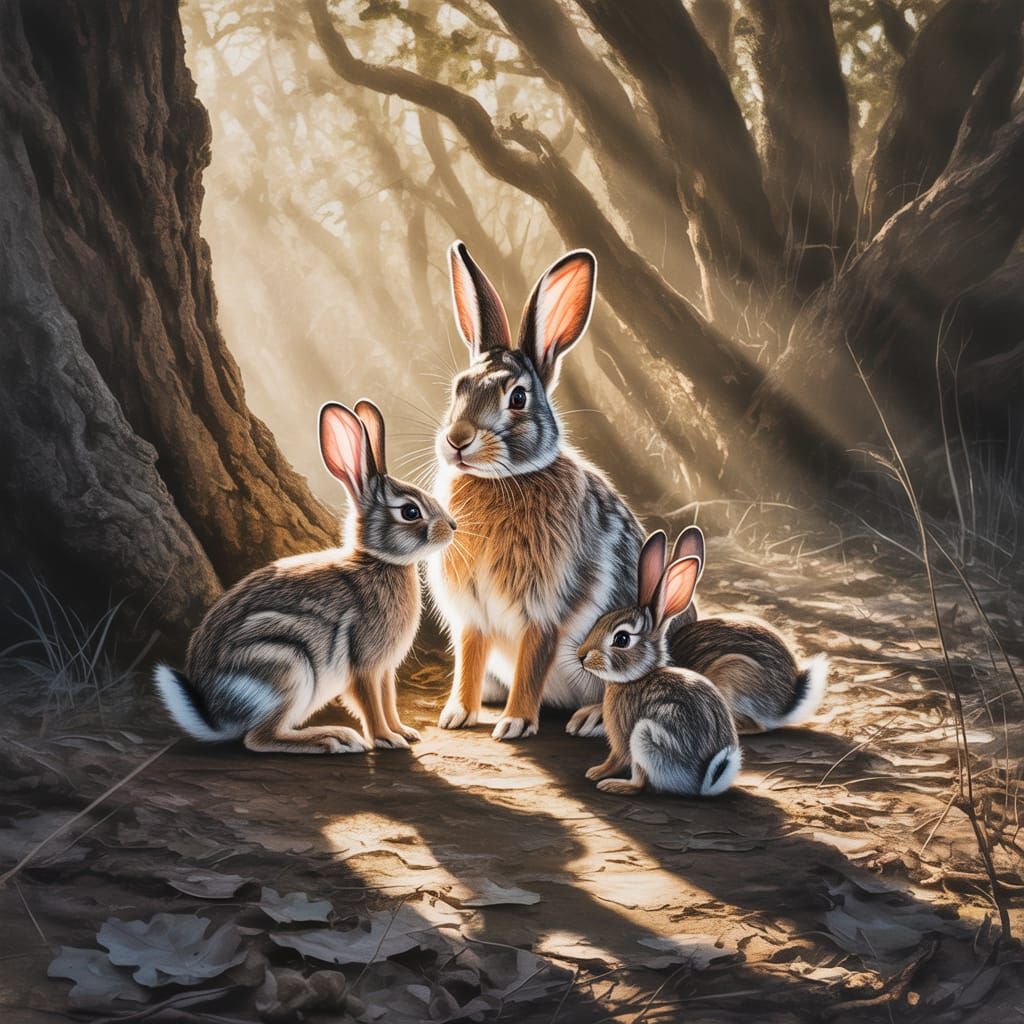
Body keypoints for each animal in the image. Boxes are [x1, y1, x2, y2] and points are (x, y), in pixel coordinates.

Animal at [154, 399, 456, 754]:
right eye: (410, 512)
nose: (452, 526)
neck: (379, 562)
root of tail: (216, 714)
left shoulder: (384, 669)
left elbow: (388, 699)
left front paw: (403, 732)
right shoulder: (365, 663)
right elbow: (370, 702)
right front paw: (386, 739)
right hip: (285, 665)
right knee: (259, 738)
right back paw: (332, 738)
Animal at [428, 242, 676, 741]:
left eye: (518, 398)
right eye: (459, 389)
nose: (458, 440)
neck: (500, 480)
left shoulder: (545, 610)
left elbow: (533, 662)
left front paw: (516, 722)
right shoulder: (473, 616)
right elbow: (469, 657)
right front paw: (457, 712)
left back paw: (591, 717)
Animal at [576, 531, 741, 796]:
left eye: (622, 639)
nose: (582, 656)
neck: (637, 677)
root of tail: (701, 785)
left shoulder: (624, 733)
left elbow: (617, 756)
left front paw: (596, 772)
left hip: (647, 735)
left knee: (640, 782)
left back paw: (615, 785)